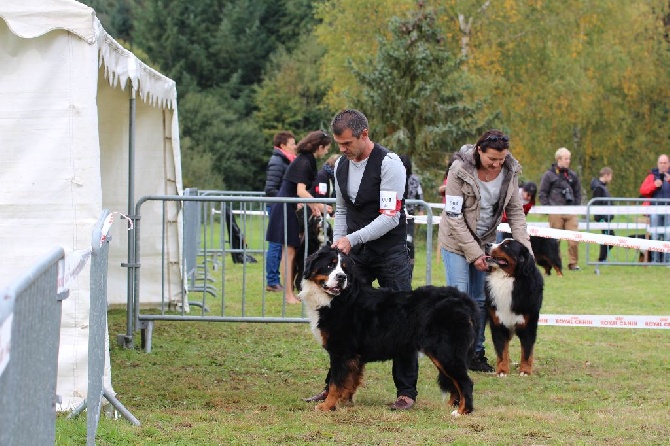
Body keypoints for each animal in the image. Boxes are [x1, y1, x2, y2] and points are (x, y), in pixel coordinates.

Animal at [298, 244, 478, 414]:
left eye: (344, 269)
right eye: (330, 265)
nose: (341, 277)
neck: (340, 298)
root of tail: (461, 297)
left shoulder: (341, 351)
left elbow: (335, 383)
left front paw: (326, 406)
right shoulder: (353, 356)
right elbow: (349, 381)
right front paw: (344, 402)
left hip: (445, 351)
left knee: (465, 382)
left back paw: (462, 411)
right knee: (455, 383)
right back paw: (451, 406)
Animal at [486, 239, 544, 378]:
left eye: (506, 245)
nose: (487, 244)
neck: (507, 279)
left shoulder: (528, 326)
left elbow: (527, 352)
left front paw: (525, 371)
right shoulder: (498, 324)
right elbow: (502, 351)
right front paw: (502, 371)